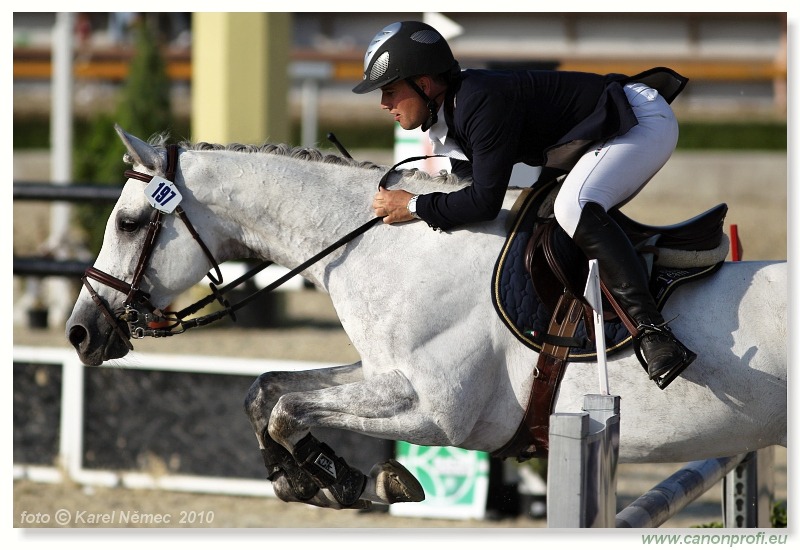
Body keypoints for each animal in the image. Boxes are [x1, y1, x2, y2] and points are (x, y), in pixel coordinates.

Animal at [64, 128, 788, 512]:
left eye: (127, 222)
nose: (80, 332)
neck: (391, 243)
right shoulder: (382, 373)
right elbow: (266, 392)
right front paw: (316, 479)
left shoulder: (435, 412)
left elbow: (286, 407)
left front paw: (349, 479)